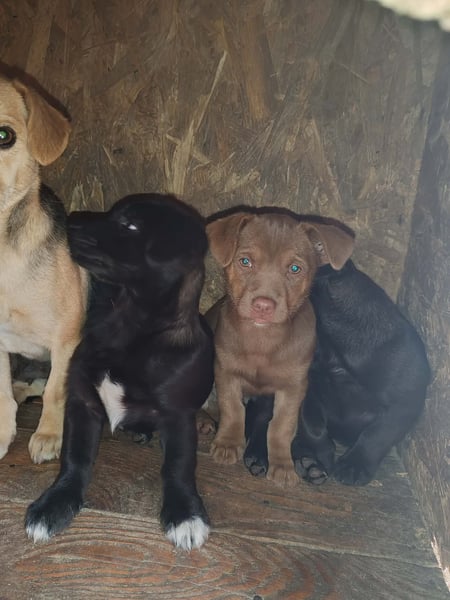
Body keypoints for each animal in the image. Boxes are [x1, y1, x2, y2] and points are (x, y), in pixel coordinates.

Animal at [25, 193, 214, 550]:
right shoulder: (83, 403)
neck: (128, 326)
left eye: (129, 225)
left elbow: (178, 467)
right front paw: (55, 503)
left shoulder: (178, 416)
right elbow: (74, 458)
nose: (70, 220)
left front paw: (185, 513)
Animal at [206, 210, 354, 486]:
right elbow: (232, 409)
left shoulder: (294, 387)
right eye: (245, 262)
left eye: (295, 268)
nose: (263, 306)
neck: (262, 341)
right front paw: (228, 444)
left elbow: (281, 426)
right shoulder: (225, 371)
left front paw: (283, 465)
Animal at [244, 256, 430, 486]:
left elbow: (378, 434)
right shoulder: (308, 391)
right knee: (264, 417)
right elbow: (312, 426)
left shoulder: (403, 403)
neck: (334, 356)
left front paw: (354, 465)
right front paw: (321, 455)